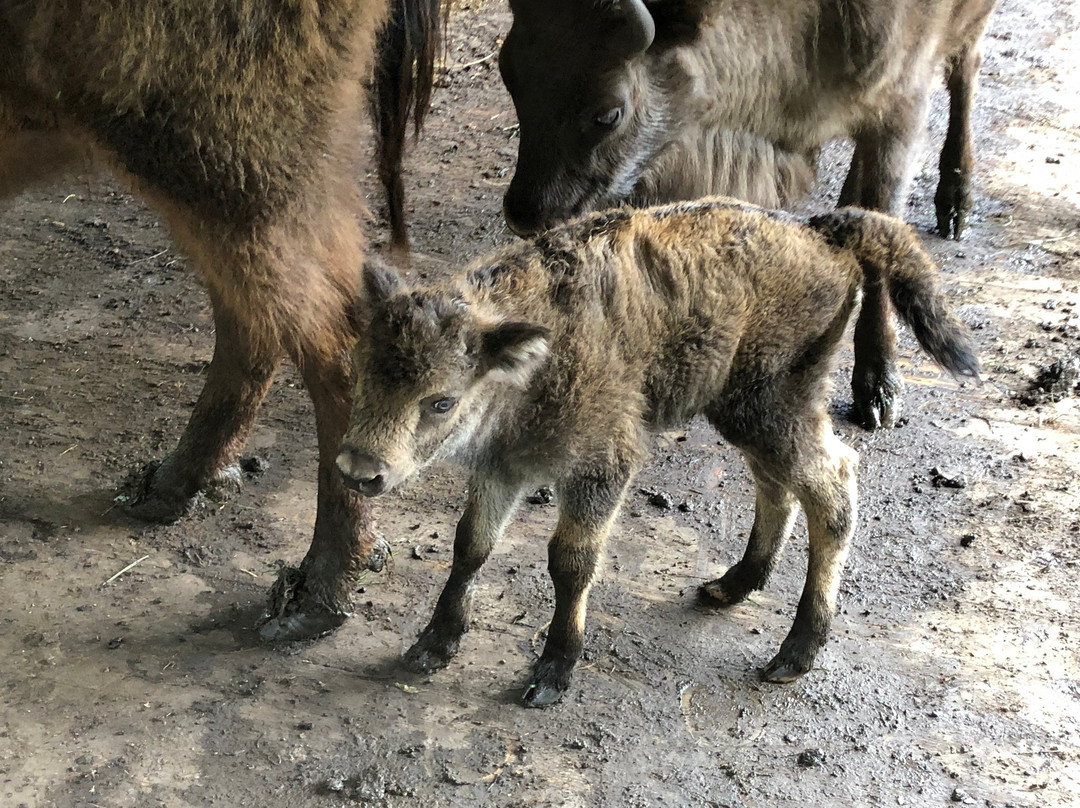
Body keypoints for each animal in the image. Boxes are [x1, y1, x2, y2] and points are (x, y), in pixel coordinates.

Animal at [336, 197, 980, 708]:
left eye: (441, 401)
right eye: (361, 370)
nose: (357, 470)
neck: (530, 365)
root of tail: (819, 231)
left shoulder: (601, 468)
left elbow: (570, 561)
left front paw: (553, 673)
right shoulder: (501, 469)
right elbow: (471, 545)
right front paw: (431, 645)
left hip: (774, 403)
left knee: (832, 485)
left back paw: (794, 653)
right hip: (745, 411)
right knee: (776, 483)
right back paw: (732, 585)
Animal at [496, 0, 993, 429]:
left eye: (608, 113)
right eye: (508, 73)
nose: (526, 213)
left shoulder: (902, 108)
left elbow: (885, 237)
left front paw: (878, 391)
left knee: (966, 68)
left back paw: (956, 204)